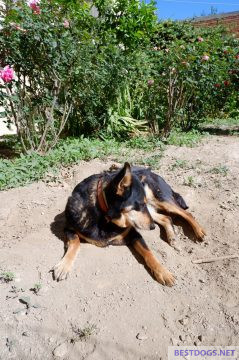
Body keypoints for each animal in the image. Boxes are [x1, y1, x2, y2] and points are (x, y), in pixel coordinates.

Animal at [52, 162, 205, 286]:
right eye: (140, 204)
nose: (152, 228)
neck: (103, 215)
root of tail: (150, 171)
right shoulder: (69, 228)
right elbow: (75, 242)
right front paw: (64, 266)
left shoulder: (134, 234)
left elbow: (149, 253)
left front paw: (163, 272)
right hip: (152, 210)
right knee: (166, 218)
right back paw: (172, 237)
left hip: (160, 200)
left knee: (186, 214)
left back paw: (199, 232)